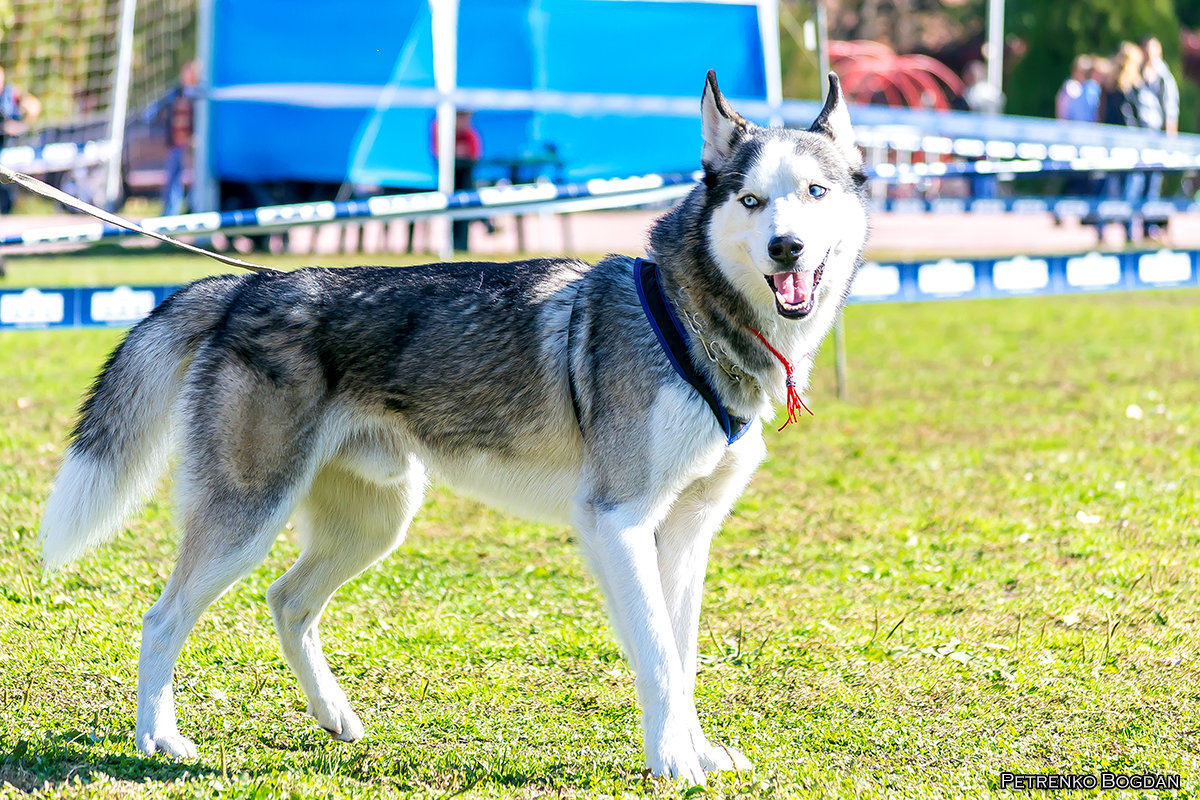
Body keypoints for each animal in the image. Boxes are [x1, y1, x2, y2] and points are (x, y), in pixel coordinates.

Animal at [37, 71, 864, 786]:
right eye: (752, 200)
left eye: (815, 192)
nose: (786, 248)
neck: (692, 322)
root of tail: (250, 286)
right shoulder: (617, 521)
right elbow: (659, 655)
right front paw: (673, 763)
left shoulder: (686, 534)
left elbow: (681, 658)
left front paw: (693, 749)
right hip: (247, 517)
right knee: (162, 619)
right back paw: (159, 738)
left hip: (376, 521)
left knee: (287, 601)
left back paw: (333, 715)